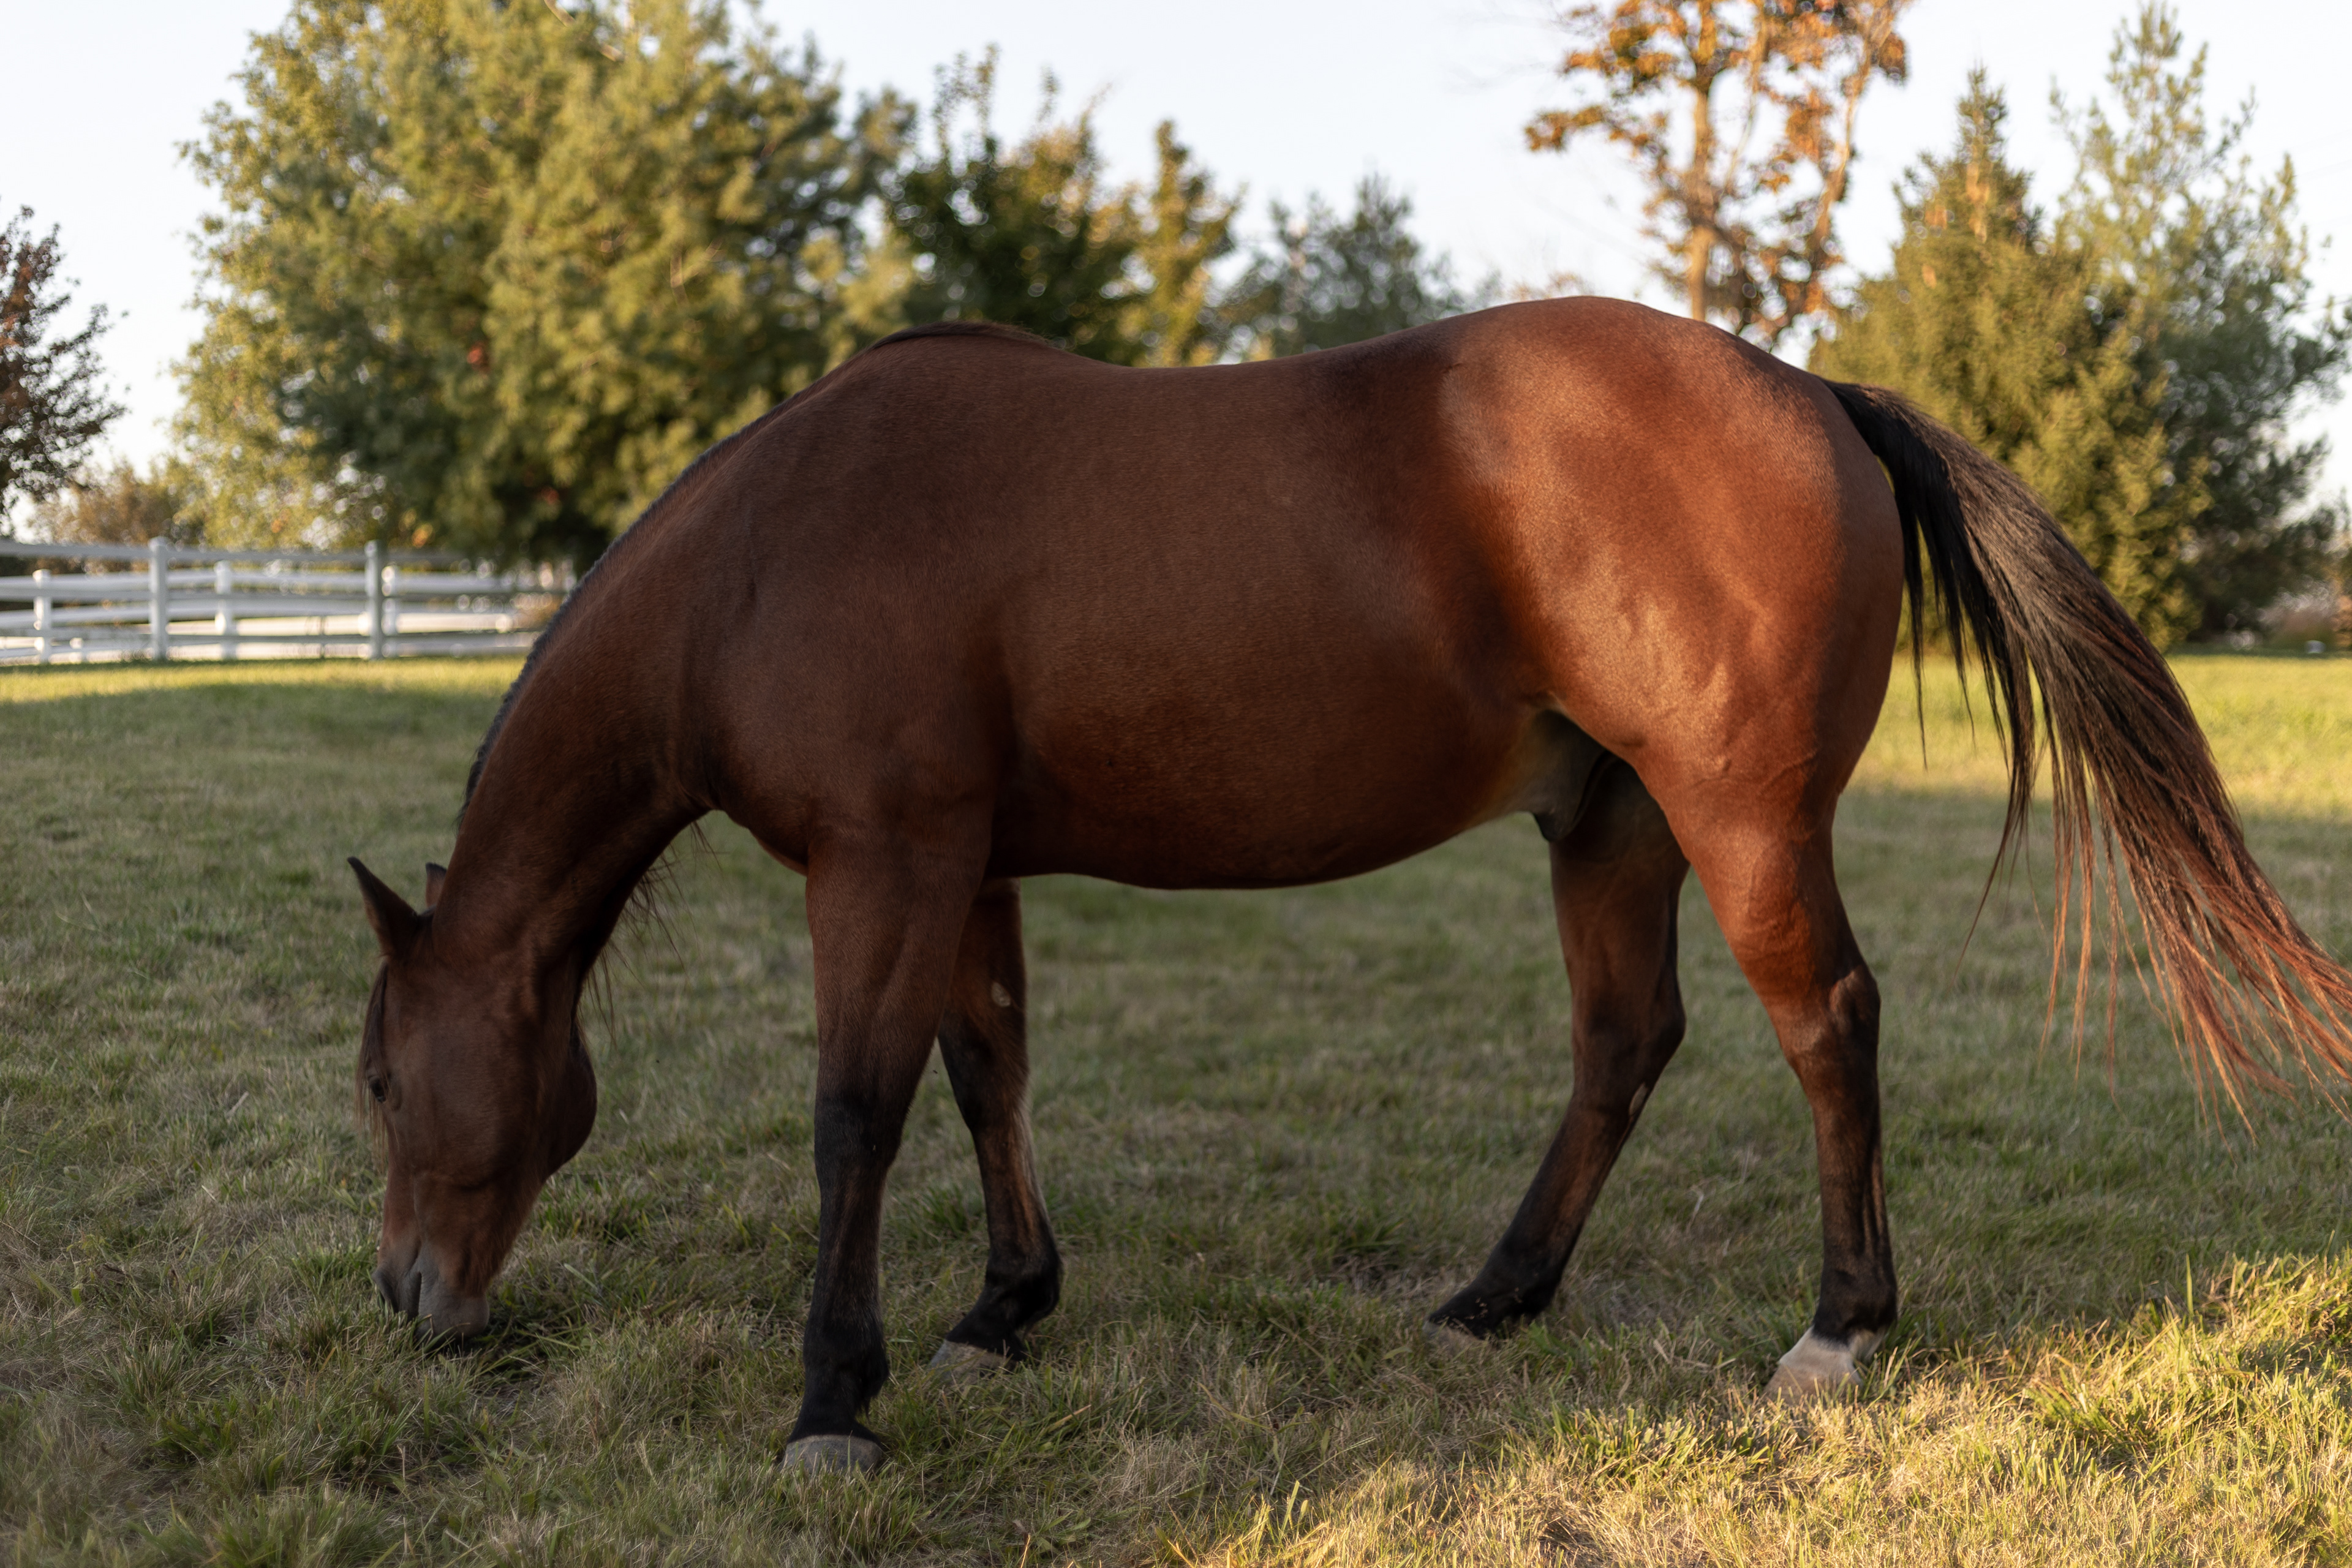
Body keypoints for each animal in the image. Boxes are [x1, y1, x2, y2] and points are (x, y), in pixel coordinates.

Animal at [349, 297, 2352, 1475]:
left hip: (1740, 821)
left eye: (373, 1078)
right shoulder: (960, 869)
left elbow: (857, 1113)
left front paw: (834, 1394)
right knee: (1625, 1041)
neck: (777, 550)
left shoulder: (883, 868)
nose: (404, 1301)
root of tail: (1814, 393)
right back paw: (1496, 1295)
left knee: (1824, 1024)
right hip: (1611, 823)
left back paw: (1837, 1326)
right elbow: (985, 1077)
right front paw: (1002, 1309)